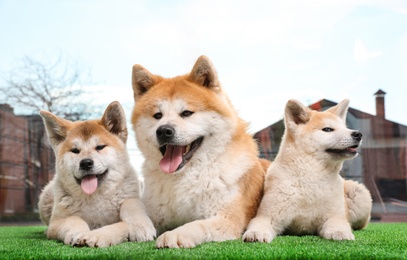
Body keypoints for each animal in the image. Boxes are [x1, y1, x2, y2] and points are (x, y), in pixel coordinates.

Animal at [38, 100, 156, 247]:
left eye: (100, 147)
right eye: (75, 150)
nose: (86, 163)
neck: (95, 199)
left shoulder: (132, 197)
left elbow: (131, 205)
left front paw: (140, 227)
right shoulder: (55, 223)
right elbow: (74, 219)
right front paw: (78, 233)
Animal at [132, 55, 270, 248]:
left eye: (186, 113)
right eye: (157, 116)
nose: (164, 131)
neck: (184, 178)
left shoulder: (225, 218)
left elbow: (196, 224)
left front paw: (174, 234)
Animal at [242, 98, 372, 243]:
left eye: (345, 128)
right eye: (328, 129)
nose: (358, 134)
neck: (311, 178)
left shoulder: (335, 216)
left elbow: (339, 225)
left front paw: (339, 233)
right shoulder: (267, 216)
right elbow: (258, 225)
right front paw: (255, 233)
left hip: (359, 193)